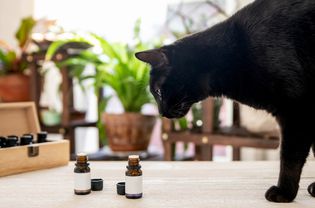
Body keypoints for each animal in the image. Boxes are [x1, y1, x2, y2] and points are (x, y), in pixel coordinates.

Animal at [137, 0, 315, 203]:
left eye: (158, 91)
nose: (161, 112)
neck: (233, 53)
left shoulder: (296, 109)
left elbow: (289, 156)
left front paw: (284, 192)